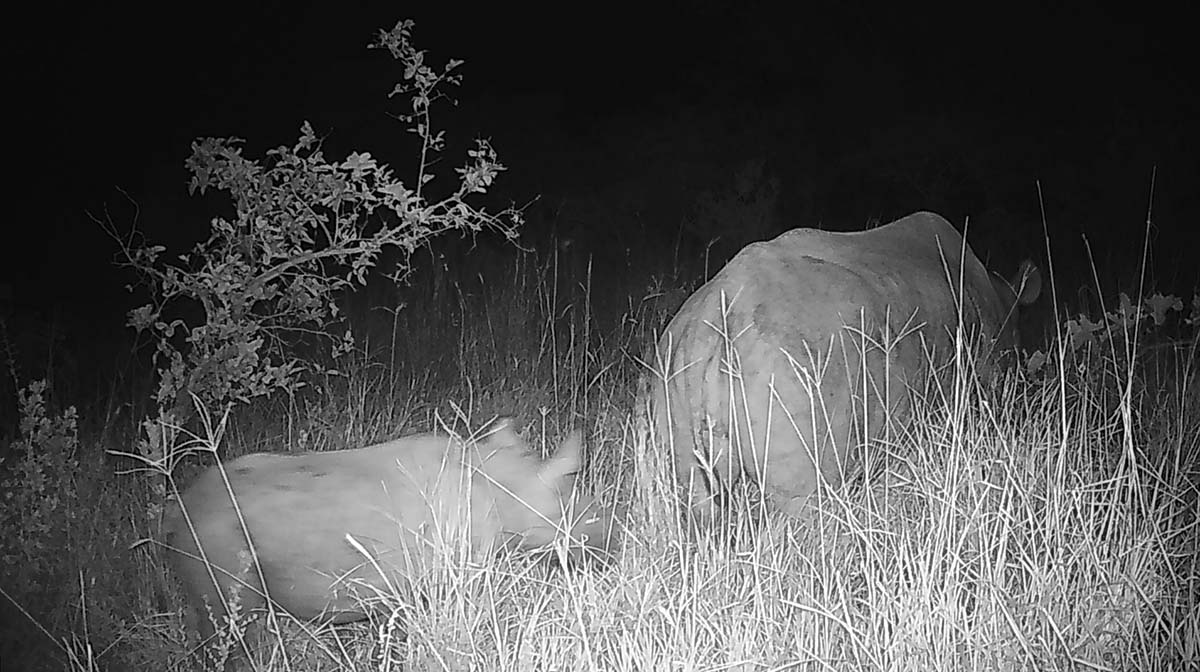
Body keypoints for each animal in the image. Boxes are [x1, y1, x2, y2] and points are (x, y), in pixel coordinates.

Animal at [163, 418, 609, 660]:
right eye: (567, 500)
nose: (611, 540)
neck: (503, 489)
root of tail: (175, 514)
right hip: (216, 553)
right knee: (230, 628)